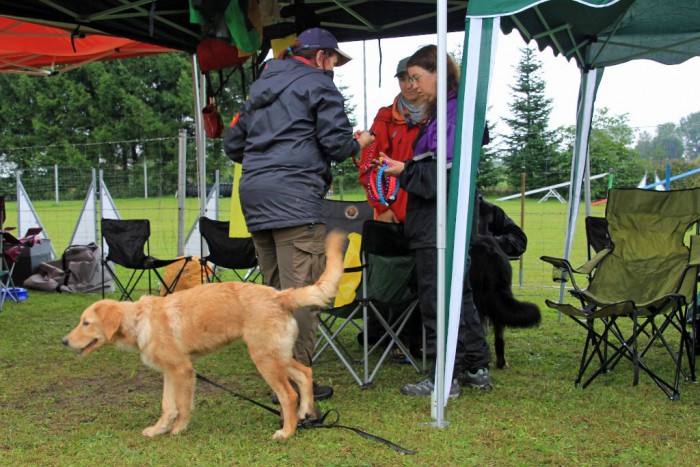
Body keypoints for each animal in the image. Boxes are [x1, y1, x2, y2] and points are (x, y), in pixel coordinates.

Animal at [62, 231, 345, 440]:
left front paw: (177, 430)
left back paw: (287, 431)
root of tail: (279, 295)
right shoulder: (169, 372)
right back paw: (305, 413)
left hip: (265, 360)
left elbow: (182, 406)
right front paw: (158, 429)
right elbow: (167, 406)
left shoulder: (183, 371)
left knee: (289, 395)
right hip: (277, 356)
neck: (141, 320)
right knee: (305, 373)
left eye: (86, 323)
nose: (64, 341)